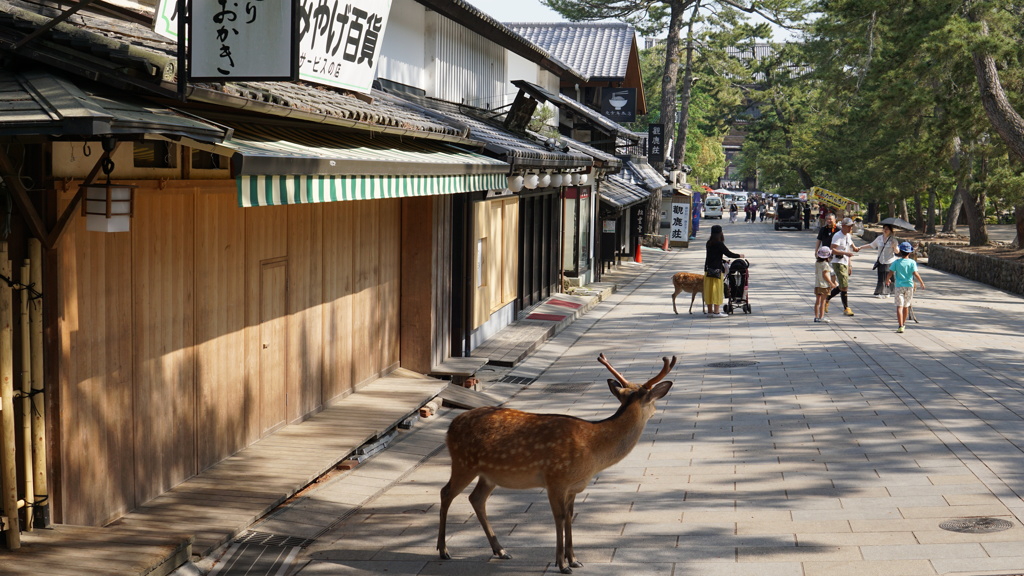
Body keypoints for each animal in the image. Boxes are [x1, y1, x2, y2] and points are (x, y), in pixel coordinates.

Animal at [436, 352, 675, 569]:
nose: (656, 411)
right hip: (464, 462)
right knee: (446, 492)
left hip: (488, 474)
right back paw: (443, 550)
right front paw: (561, 564)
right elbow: (559, 517)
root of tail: (450, 428)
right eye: (652, 402)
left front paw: (575, 560)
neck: (593, 452)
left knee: (476, 498)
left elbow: (569, 516)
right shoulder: (555, 479)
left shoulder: (573, 486)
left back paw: (501, 550)